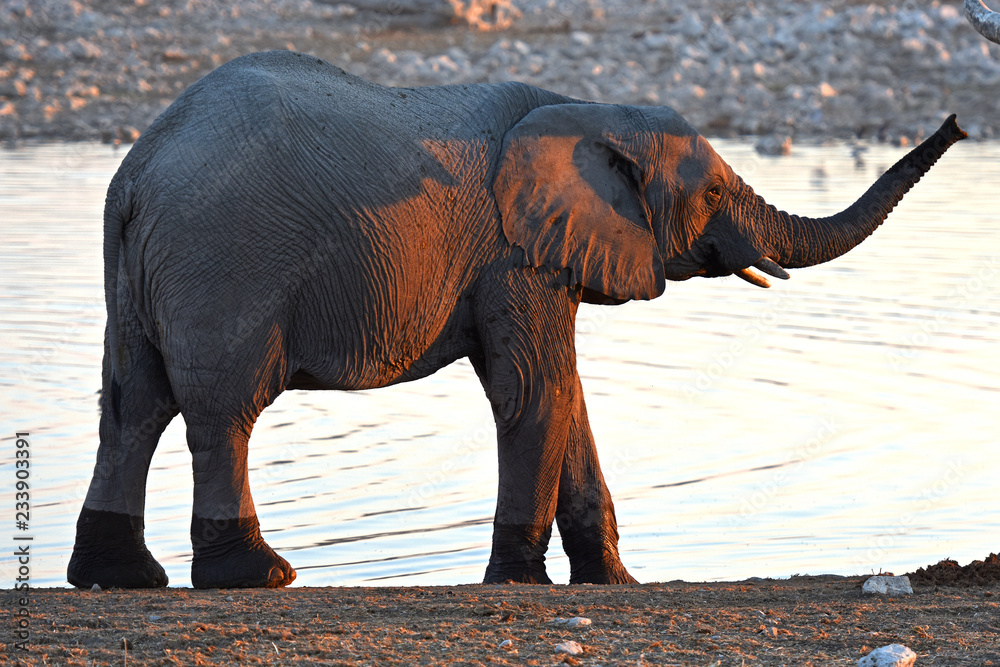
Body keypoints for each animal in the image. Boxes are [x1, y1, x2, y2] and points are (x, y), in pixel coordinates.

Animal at [68, 50, 966, 589]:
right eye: (711, 191)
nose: (959, 122)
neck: (590, 108)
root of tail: (136, 173)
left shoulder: (528, 257)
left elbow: (569, 395)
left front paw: (613, 583)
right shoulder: (516, 254)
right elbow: (535, 389)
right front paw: (521, 581)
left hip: (142, 271)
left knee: (132, 405)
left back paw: (119, 577)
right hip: (222, 261)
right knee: (224, 409)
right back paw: (260, 575)